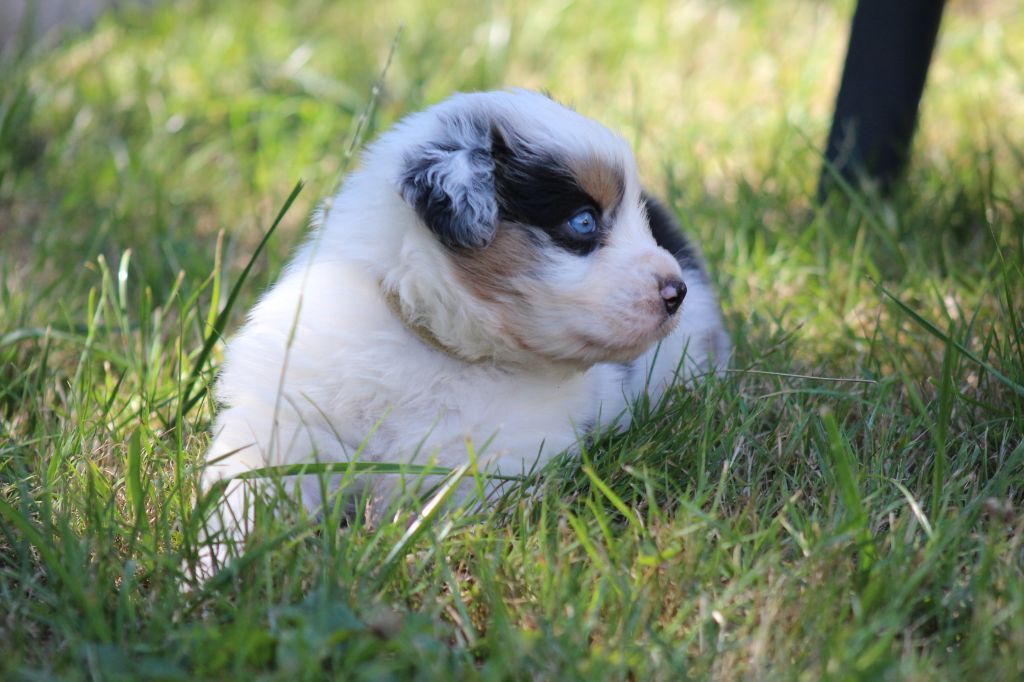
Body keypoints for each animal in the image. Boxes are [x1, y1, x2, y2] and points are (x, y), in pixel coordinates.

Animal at [195, 87, 733, 569]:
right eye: (583, 222)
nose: (676, 292)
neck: (440, 347)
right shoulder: (281, 425)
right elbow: (243, 497)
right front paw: (211, 571)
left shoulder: (497, 467)